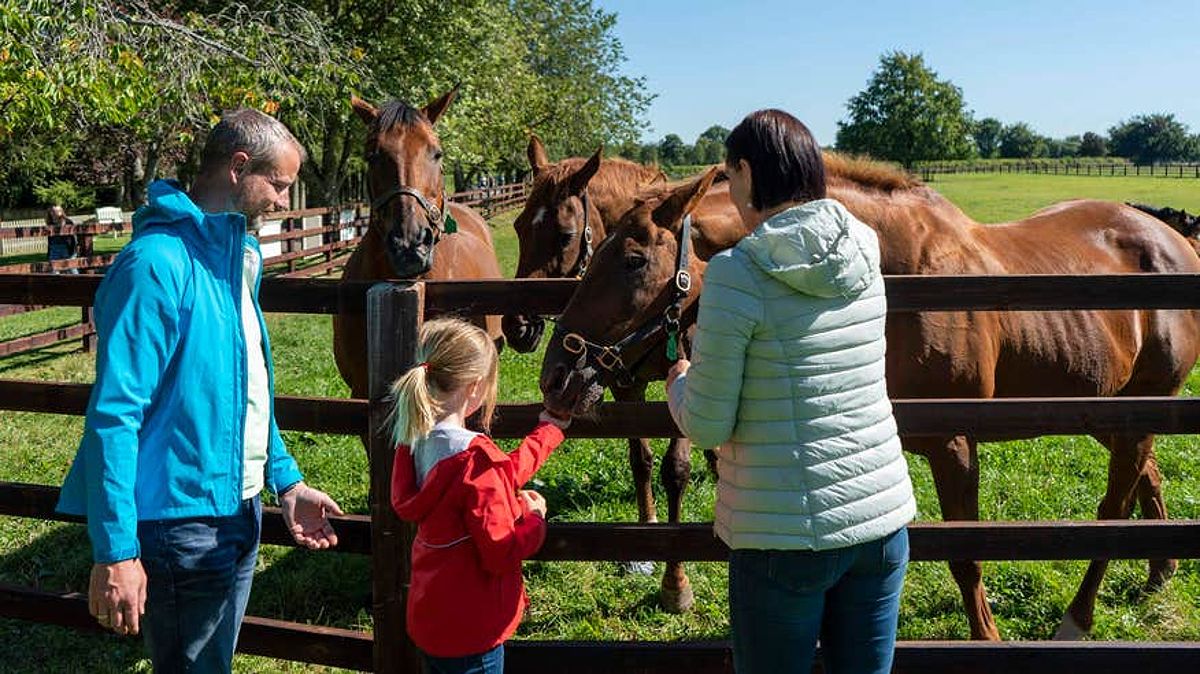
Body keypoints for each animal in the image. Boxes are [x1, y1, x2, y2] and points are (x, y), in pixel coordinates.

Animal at [501, 134, 744, 609]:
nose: (516, 326)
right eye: (519, 226)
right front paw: (643, 543)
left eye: (565, 235)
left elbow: (675, 469)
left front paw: (675, 582)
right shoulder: (621, 381)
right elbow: (641, 460)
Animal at [540, 158, 1200, 638]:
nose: (556, 371)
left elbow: (967, 556)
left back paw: (1079, 618)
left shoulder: (954, 443)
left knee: (1114, 504)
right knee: (1146, 476)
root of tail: (1172, 239)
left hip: (1139, 407)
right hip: (1107, 408)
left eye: (631, 260)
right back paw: (1160, 570)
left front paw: (985, 637)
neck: (890, 272)